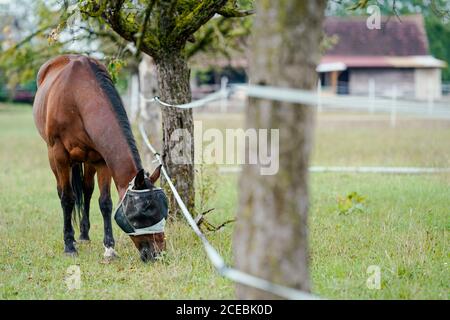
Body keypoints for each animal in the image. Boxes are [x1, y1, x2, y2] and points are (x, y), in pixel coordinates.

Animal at [33, 53, 166, 262]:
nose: (157, 254)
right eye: (142, 213)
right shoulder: (59, 155)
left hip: (88, 161)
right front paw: (69, 246)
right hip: (55, 158)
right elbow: (67, 199)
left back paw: (84, 234)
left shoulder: (102, 160)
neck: (76, 96)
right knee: (63, 192)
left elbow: (105, 202)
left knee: (87, 190)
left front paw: (109, 248)